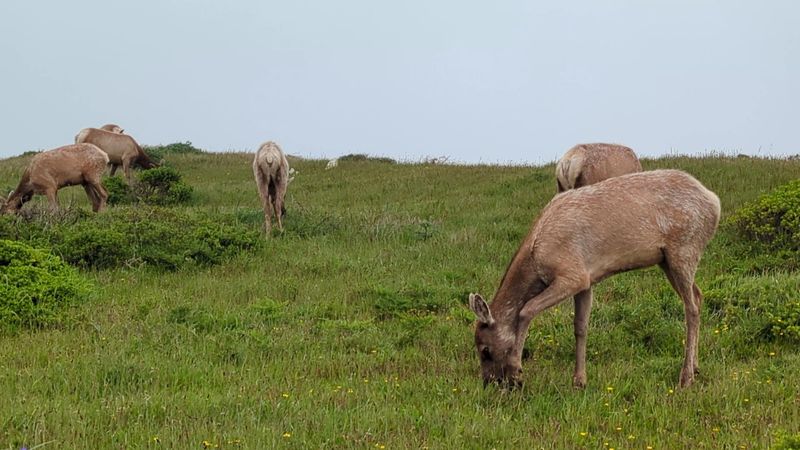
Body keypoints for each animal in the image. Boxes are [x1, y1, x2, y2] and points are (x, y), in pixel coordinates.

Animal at [468, 170, 720, 390]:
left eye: (485, 350)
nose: (489, 382)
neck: (536, 257)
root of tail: (715, 203)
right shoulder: (586, 280)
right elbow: (580, 326)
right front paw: (579, 380)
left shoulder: (573, 273)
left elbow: (526, 309)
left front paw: (517, 370)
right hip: (667, 260)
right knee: (698, 295)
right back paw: (696, 367)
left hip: (684, 249)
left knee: (691, 307)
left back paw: (686, 377)